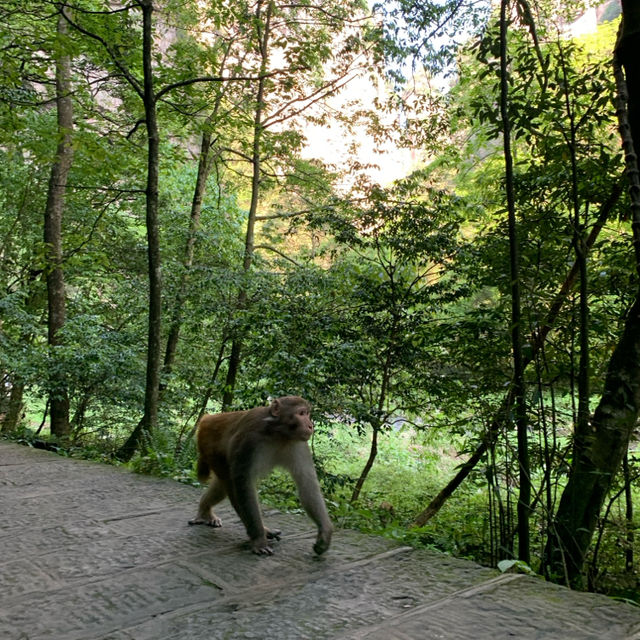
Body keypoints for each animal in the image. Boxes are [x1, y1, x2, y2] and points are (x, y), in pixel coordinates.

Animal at [188, 396, 332, 556]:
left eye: (307, 413)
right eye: (301, 413)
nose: (310, 425)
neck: (278, 434)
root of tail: (207, 419)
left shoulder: (299, 444)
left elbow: (307, 483)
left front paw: (325, 533)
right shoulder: (249, 440)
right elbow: (243, 484)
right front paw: (258, 539)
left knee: (222, 485)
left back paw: (205, 510)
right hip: (209, 445)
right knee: (230, 482)